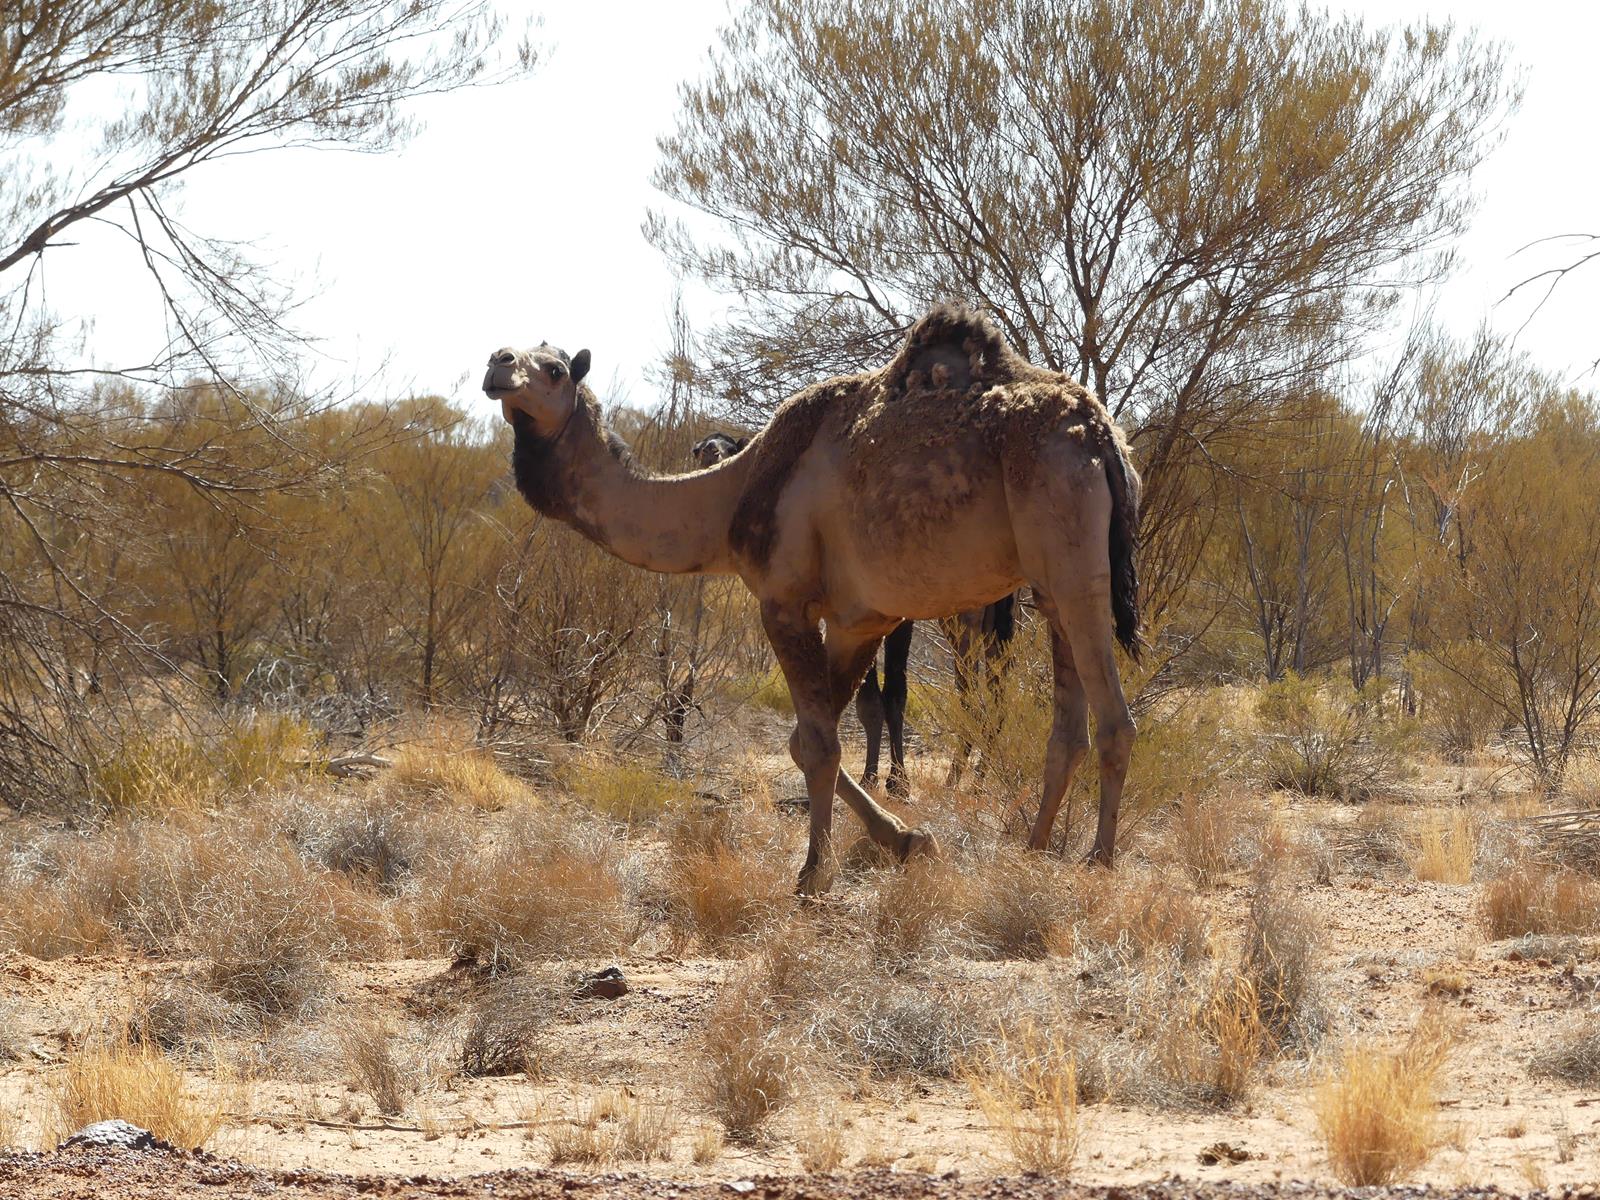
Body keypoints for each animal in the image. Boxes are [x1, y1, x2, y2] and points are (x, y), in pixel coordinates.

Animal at [684, 428, 1011, 800]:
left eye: (729, 448)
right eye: (703, 450)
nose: (713, 453)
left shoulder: (896, 616)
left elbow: (895, 693)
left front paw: (898, 782)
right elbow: (866, 701)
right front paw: (869, 777)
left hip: (973, 612)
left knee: (975, 688)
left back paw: (963, 778)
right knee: (992, 685)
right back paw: (979, 775)